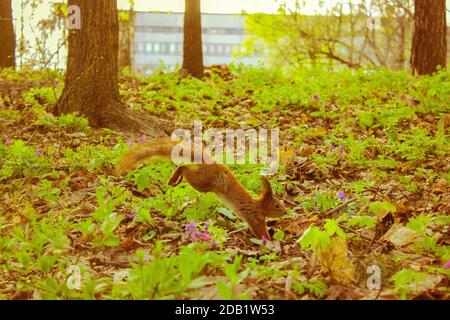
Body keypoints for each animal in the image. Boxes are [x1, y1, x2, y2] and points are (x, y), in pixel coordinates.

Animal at [116, 136, 284, 239]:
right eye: (277, 205)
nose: (285, 211)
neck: (259, 206)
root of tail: (210, 163)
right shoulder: (254, 217)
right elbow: (260, 232)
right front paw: (269, 242)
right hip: (203, 182)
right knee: (186, 168)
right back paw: (175, 178)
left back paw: (175, 178)